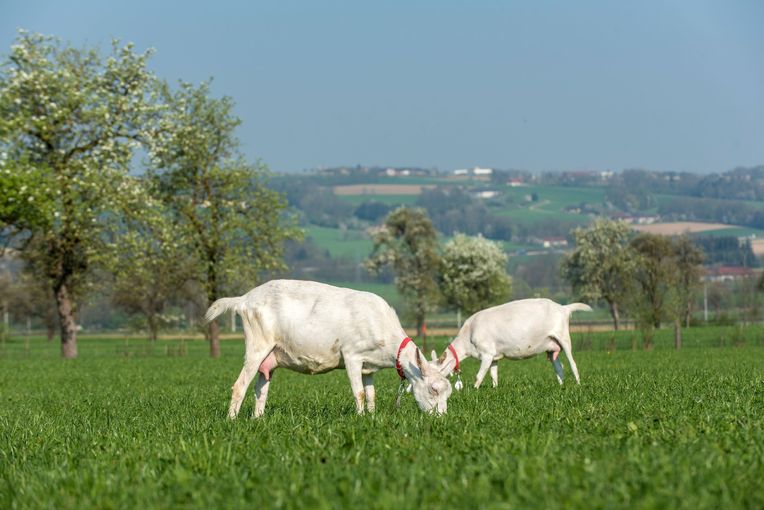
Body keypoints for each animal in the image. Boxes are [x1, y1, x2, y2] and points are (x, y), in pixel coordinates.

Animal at [205, 280, 454, 417]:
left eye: (448, 391)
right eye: (433, 389)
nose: (440, 419)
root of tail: (244, 299)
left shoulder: (369, 366)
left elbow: (371, 394)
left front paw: (372, 417)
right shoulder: (352, 355)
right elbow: (359, 393)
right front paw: (361, 418)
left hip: (271, 356)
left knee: (260, 389)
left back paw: (258, 420)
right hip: (258, 344)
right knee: (239, 385)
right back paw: (232, 421)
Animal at [434, 298, 592, 389]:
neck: (468, 335)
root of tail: (564, 308)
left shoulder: (486, 353)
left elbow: (479, 375)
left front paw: (474, 390)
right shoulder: (494, 357)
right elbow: (493, 374)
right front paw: (495, 389)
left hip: (563, 337)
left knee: (572, 363)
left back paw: (578, 385)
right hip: (551, 346)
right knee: (559, 367)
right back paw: (561, 386)